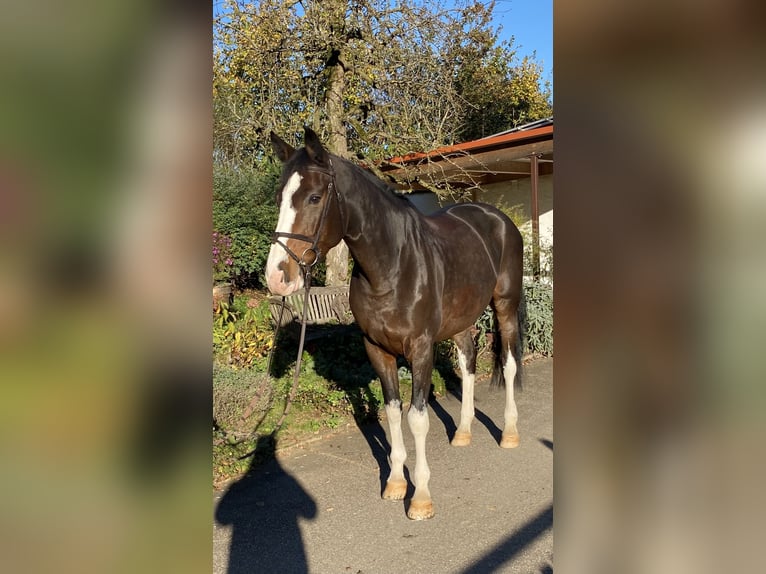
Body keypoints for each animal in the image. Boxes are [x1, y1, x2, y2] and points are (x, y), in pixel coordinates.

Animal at [265, 127, 524, 520]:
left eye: (313, 197)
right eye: (279, 197)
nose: (277, 278)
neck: (392, 267)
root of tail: (497, 218)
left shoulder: (420, 348)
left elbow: (417, 418)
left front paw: (420, 497)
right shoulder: (377, 349)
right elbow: (392, 413)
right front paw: (396, 484)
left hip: (505, 306)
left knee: (508, 365)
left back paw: (509, 433)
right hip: (462, 318)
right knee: (468, 364)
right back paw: (463, 431)